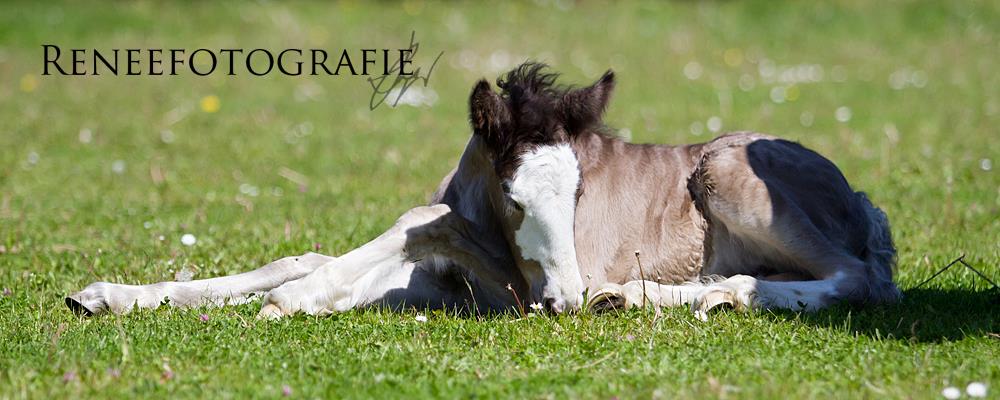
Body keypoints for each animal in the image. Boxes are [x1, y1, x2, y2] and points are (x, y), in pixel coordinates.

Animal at [68, 62, 900, 318]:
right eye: (516, 196)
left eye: (579, 196)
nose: (565, 300)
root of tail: (858, 199)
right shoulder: (444, 284)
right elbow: (299, 257)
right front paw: (105, 296)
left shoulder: (513, 291)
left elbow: (422, 216)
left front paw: (296, 302)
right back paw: (649, 294)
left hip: (727, 172)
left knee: (856, 278)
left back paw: (680, 295)